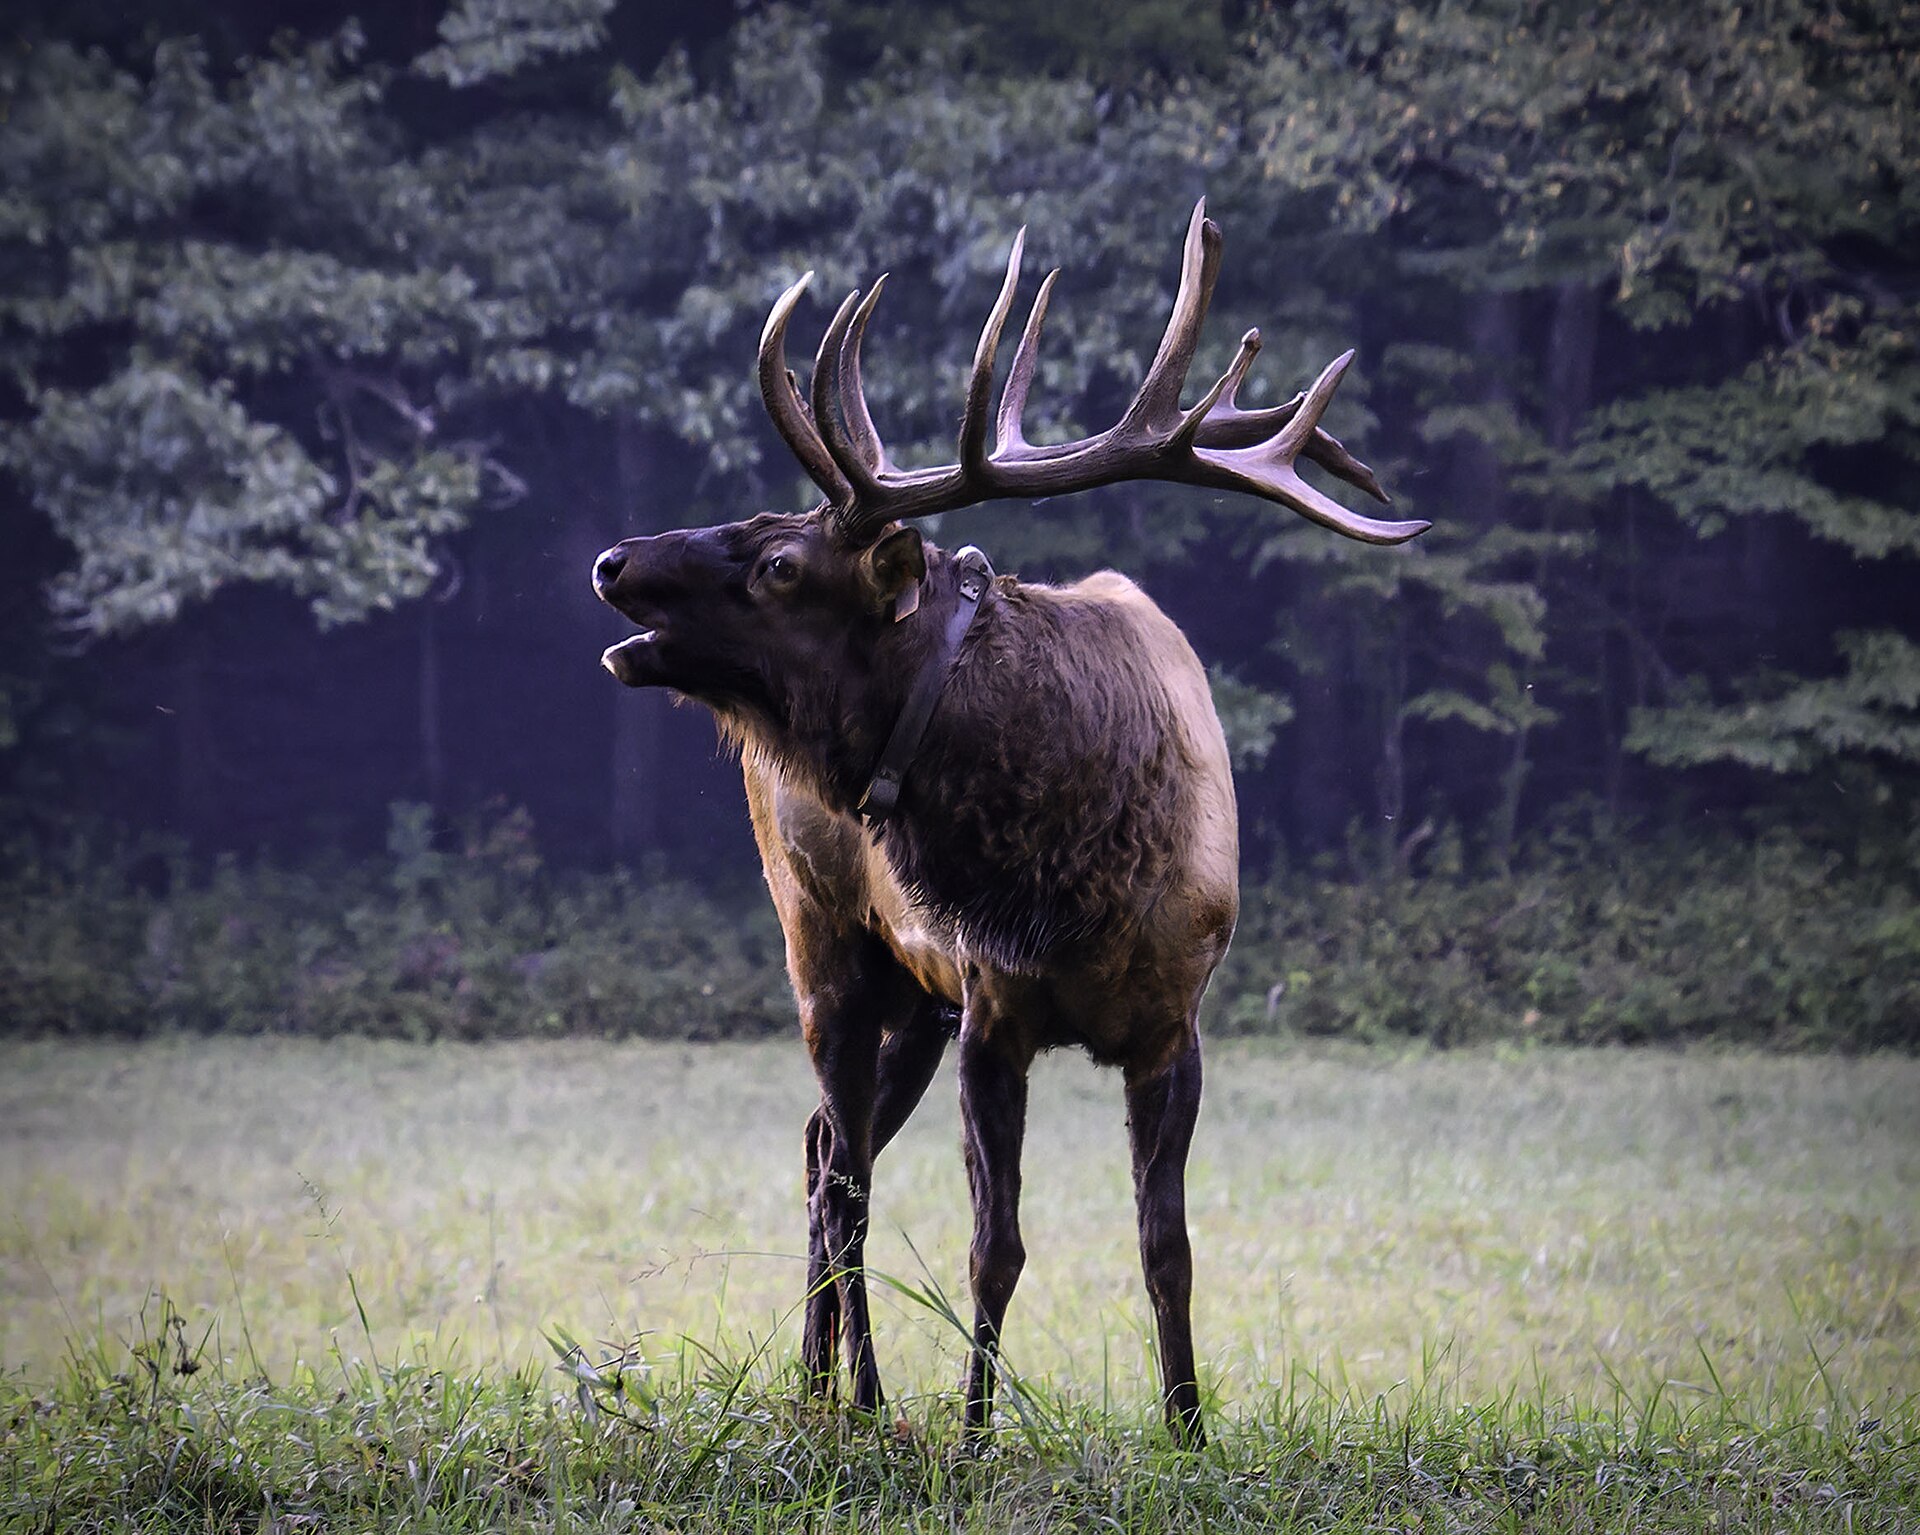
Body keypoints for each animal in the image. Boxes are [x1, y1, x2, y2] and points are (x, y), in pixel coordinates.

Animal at [592, 201, 1427, 1445]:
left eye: (781, 561)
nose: (612, 560)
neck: (1073, 875)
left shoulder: (1175, 1018)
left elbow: (1167, 1244)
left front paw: (1189, 1425)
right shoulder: (995, 1004)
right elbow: (997, 1246)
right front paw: (975, 1431)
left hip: (914, 996)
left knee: (821, 1151)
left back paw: (822, 1385)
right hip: (821, 938)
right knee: (844, 1173)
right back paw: (856, 1394)